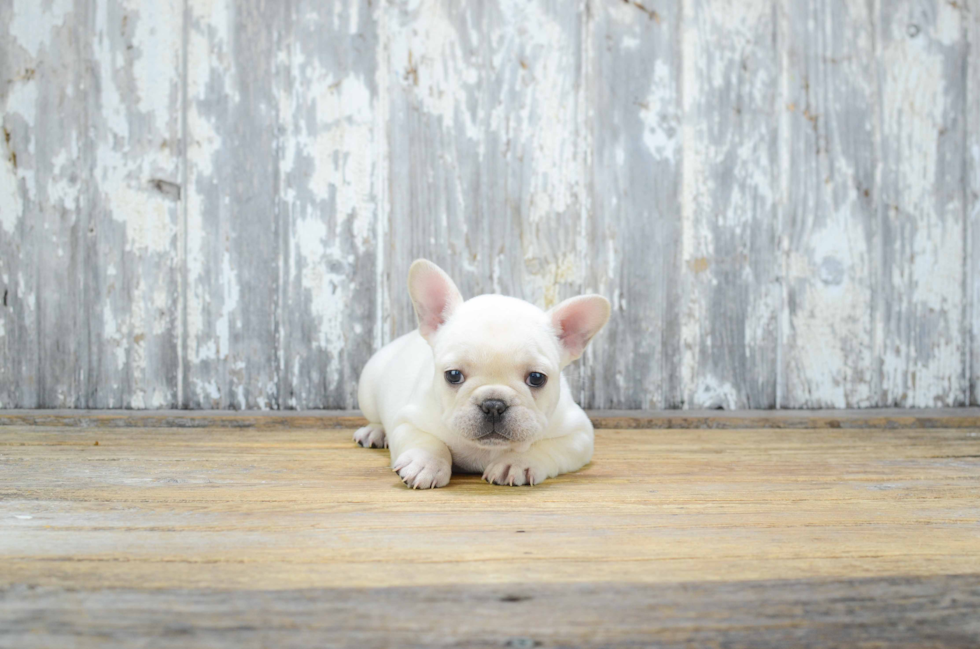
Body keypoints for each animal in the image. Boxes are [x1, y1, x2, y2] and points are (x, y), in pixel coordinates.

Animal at [352, 258, 612, 486]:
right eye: (453, 375)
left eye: (537, 378)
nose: (494, 404)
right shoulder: (409, 420)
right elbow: (428, 441)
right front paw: (426, 463)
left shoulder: (579, 434)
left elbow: (544, 446)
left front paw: (516, 462)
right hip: (368, 389)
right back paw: (375, 433)